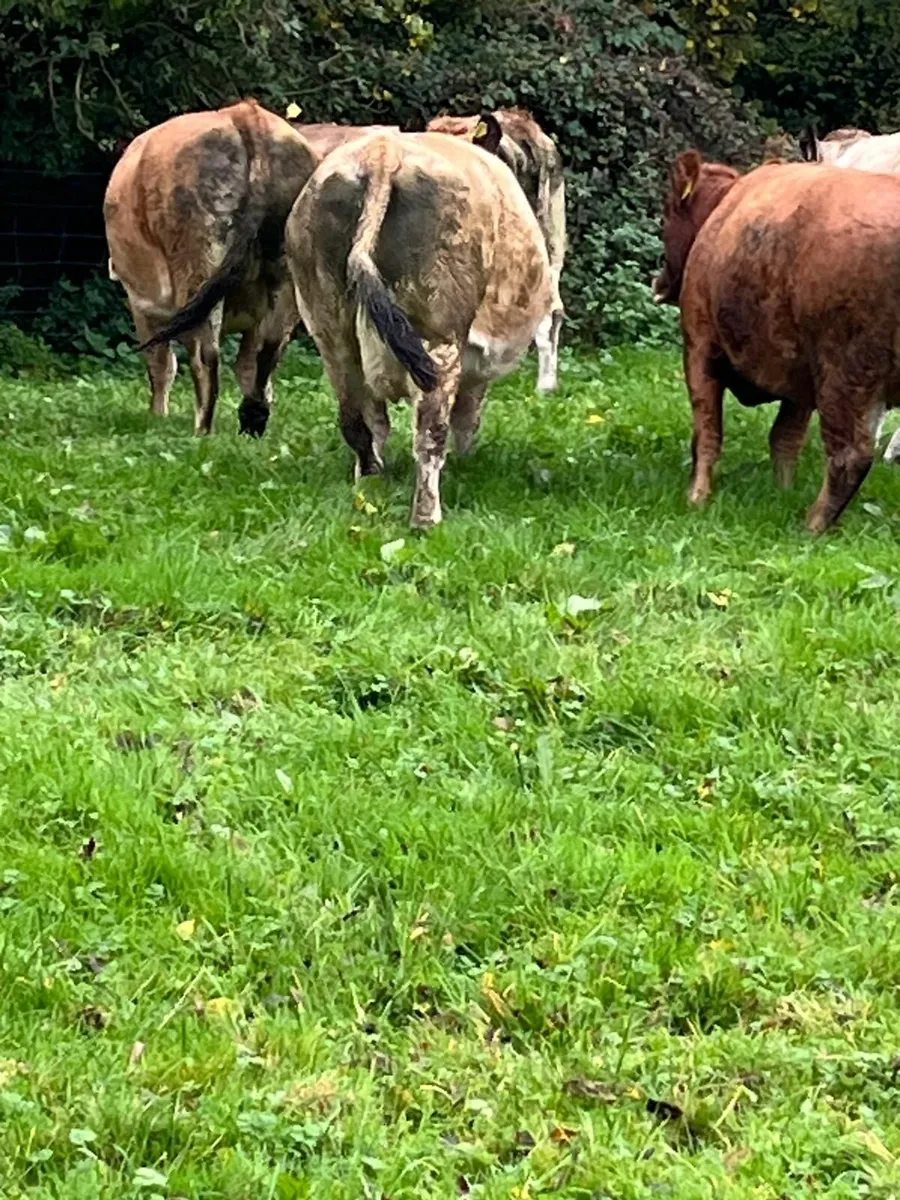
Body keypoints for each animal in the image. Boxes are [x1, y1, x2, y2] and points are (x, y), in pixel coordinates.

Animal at [104, 101, 318, 436]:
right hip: (286, 278)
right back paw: (253, 422)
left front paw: (157, 416)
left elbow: (160, 364)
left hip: (198, 263)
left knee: (206, 357)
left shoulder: (141, 305)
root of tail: (245, 113)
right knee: (267, 351)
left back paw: (202, 430)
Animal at [285, 123, 552, 528]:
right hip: (438, 337)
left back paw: (369, 486)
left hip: (328, 327)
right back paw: (427, 518)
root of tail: (383, 153)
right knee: (430, 433)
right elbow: (467, 417)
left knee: (355, 420)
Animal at [652, 149, 900, 531]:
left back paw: (811, 525)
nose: (660, 281)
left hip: (847, 370)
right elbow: (784, 438)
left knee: (851, 455)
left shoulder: (698, 344)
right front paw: (782, 492)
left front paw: (696, 498)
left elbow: (707, 432)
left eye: (666, 213)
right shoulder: (799, 378)